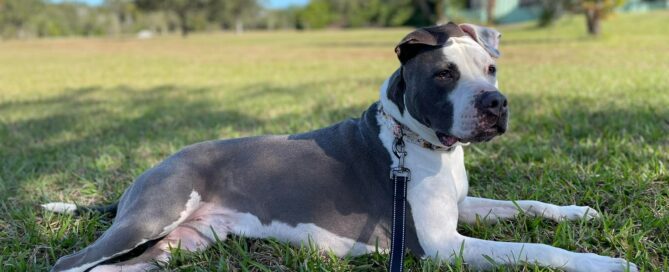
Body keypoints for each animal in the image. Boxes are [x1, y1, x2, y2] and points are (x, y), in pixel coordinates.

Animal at [44, 23, 636, 272]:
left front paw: (580, 212)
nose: (495, 103)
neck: (414, 141)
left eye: (490, 67)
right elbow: (536, 249)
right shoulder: (445, 246)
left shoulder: (463, 207)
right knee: (71, 263)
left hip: (179, 243)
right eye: (444, 74)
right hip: (152, 216)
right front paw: (603, 262)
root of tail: (146, 173)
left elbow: (526, 206)